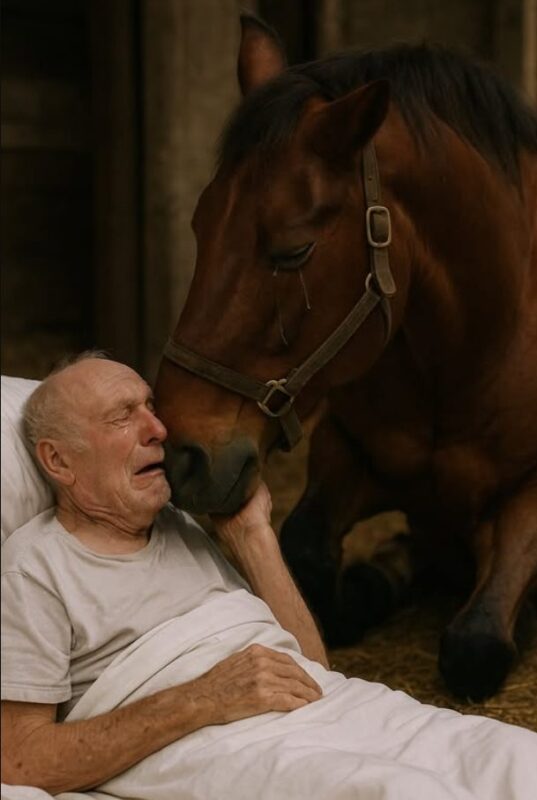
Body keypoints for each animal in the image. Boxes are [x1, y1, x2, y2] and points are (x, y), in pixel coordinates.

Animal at [154, 14, 537, 701]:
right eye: (199, 226)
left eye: (294, 252)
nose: (179, 455)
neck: (466, 353)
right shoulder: (349, 447)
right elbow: (306, 553)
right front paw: (361, 589)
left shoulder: (528, 492)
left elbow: (476, 642)